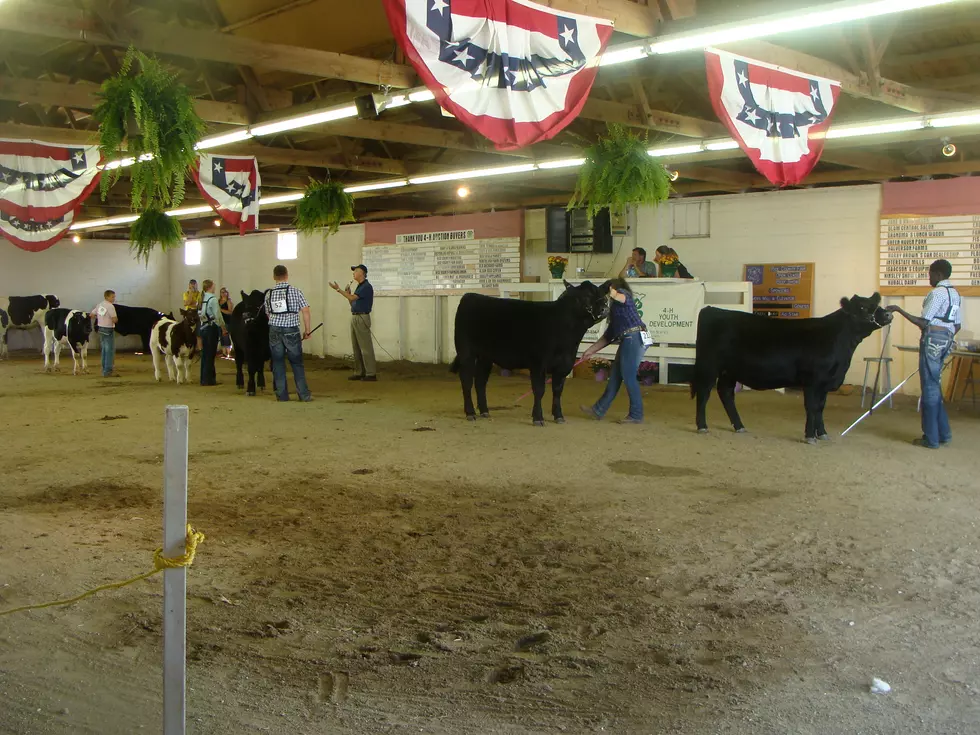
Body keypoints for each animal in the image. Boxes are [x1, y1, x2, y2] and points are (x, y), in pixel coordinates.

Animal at [454, 280, 612, 426]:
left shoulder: (564, 365)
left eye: (602, 295)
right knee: (467, 381)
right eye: (586, 296)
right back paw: (470, 413)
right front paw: (538, 418)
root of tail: (470, 296)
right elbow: (539, 390)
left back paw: (484, 411)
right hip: (466, 352)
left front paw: (558, 416)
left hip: (485, 357)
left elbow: (557, 391)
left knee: (480, 382)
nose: (605, 308)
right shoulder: (538, 364)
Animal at [688, 294, 896, 442]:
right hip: (709, 365)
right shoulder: (813, 380)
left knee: (726, 393)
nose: (888, 314)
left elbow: (821, 407)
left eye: (875, 303)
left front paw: (822, 433)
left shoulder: (826, 381)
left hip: (729, 370)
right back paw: (702, 426)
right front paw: (810, 436)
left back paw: (739, 426)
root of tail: (712, 309)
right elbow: (812, 406)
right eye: (862, 307)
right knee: (704, 393)